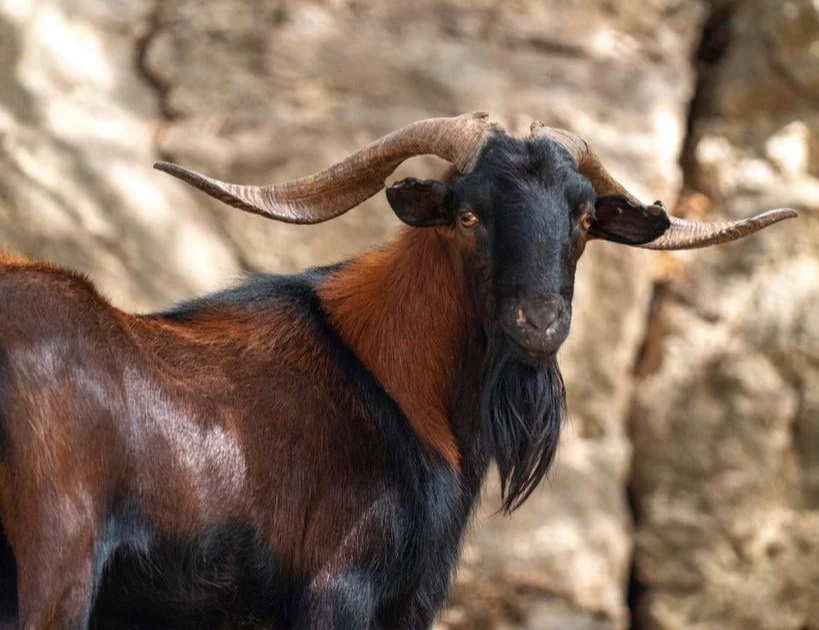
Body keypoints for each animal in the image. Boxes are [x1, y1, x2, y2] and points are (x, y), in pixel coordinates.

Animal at [0, 113, 795, 629]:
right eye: (469, 215)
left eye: (582, 218)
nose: (538, 324)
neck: (395, 380)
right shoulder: (343, 591)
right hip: (56, 565)